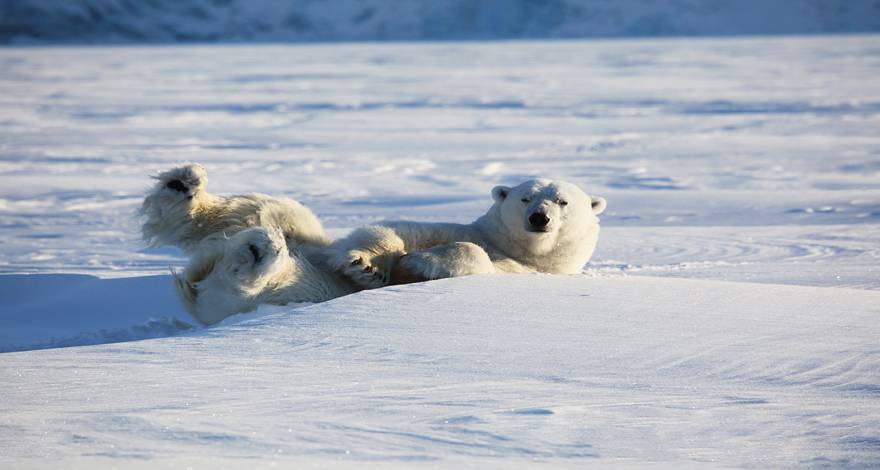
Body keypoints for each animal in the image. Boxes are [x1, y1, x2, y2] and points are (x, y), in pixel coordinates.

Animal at [328, 178, 606, 288]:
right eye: (525, 198)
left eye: (563, 201)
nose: (539, 217)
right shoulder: (466, 230)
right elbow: (402, 229)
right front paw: (367, 265)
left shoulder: (525, 269)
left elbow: (481, 260)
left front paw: (419, 261)